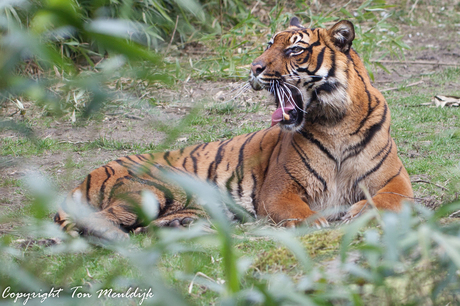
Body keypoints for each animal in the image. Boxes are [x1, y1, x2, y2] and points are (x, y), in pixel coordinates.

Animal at [53, 17, 414, 240]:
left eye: (294, 50)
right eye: (269, 44)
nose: (254, 68)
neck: (334, 119)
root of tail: (85, 177)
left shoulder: (396, 181)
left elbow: (386, 201)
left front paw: (356, 213)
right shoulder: (278, 189)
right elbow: (302, 211)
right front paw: (321, 221)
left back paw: (180, 225)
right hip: (155, 188)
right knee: (101, 220)